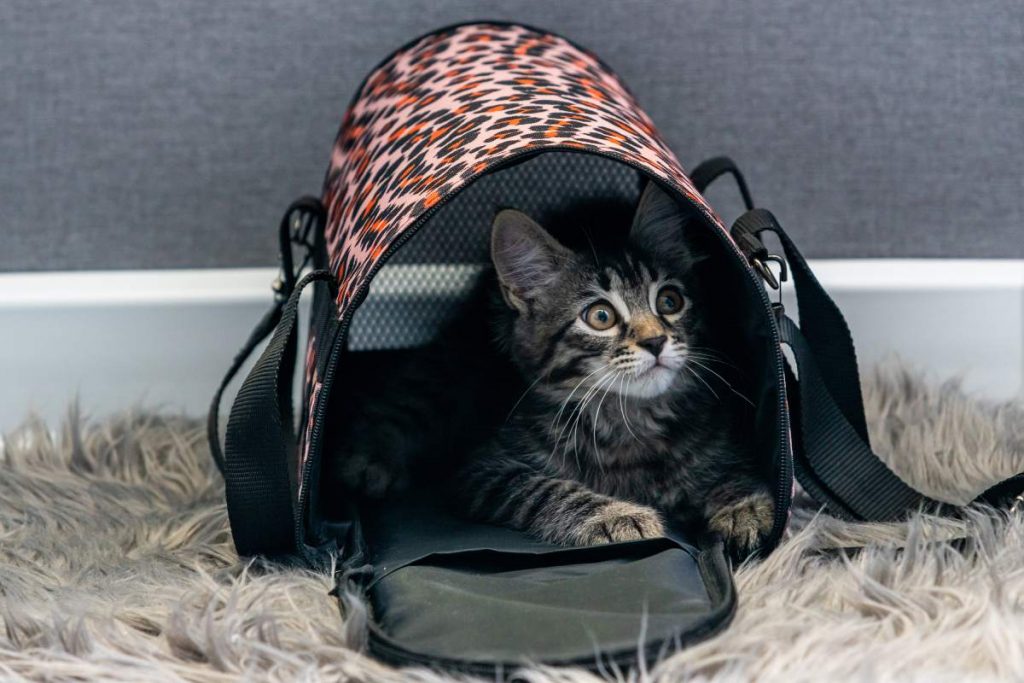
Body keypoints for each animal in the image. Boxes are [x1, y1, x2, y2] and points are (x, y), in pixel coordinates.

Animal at [331, 183, 770, 561]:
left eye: (669, 301)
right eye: (600, 316)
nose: (656, 341)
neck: (628, 417)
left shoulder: (724, 439)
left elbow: (732, 472)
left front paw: (745, 507)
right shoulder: (486, 470)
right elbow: (550, 489)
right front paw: (617, 515)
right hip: (448, 371)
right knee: (401, 400)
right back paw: (367, 462)